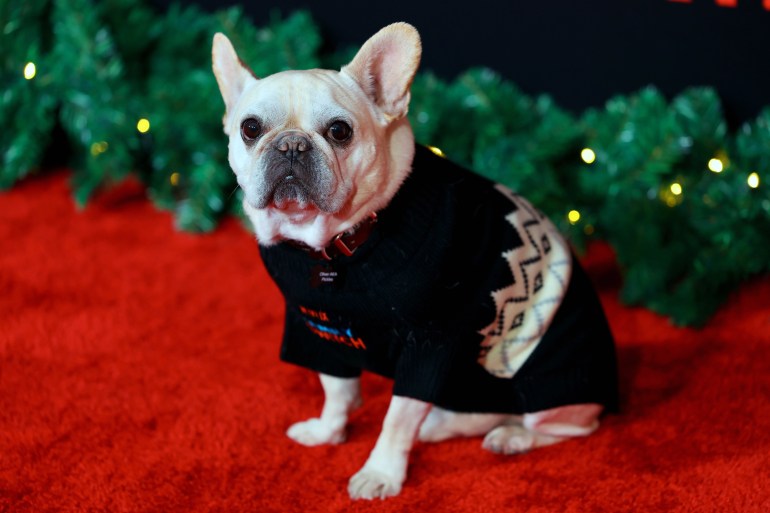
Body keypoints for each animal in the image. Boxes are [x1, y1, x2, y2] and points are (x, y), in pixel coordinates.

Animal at [212, 22, 616, 498]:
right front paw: (328, 432)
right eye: (250, 128)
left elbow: (397, 419)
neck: (337, 244)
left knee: (568, 427)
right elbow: (337, 391)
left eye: (340, 131)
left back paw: (512, 436)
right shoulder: (319, 330)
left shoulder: (428, 344)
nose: (291, 145)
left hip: (552, 386)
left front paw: (381, 472)